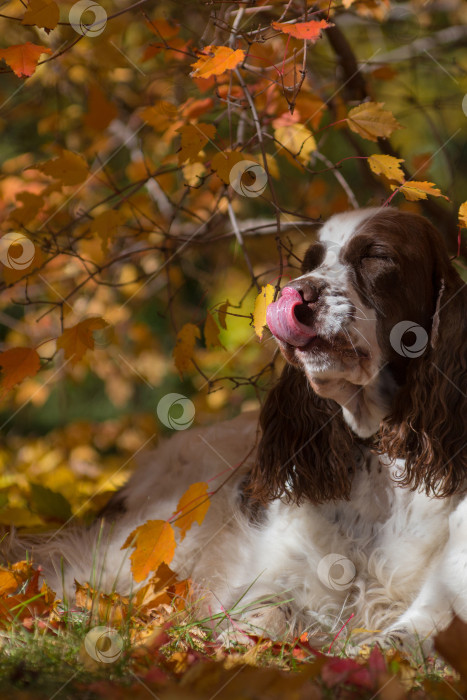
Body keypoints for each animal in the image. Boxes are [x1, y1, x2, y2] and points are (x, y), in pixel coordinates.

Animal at [8, 208, 467, 652]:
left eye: (376, 255)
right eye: (310, 262)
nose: (296, 291)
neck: (380, 456)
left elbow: (402, 640)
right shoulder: (282, 571)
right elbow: (267, 610)